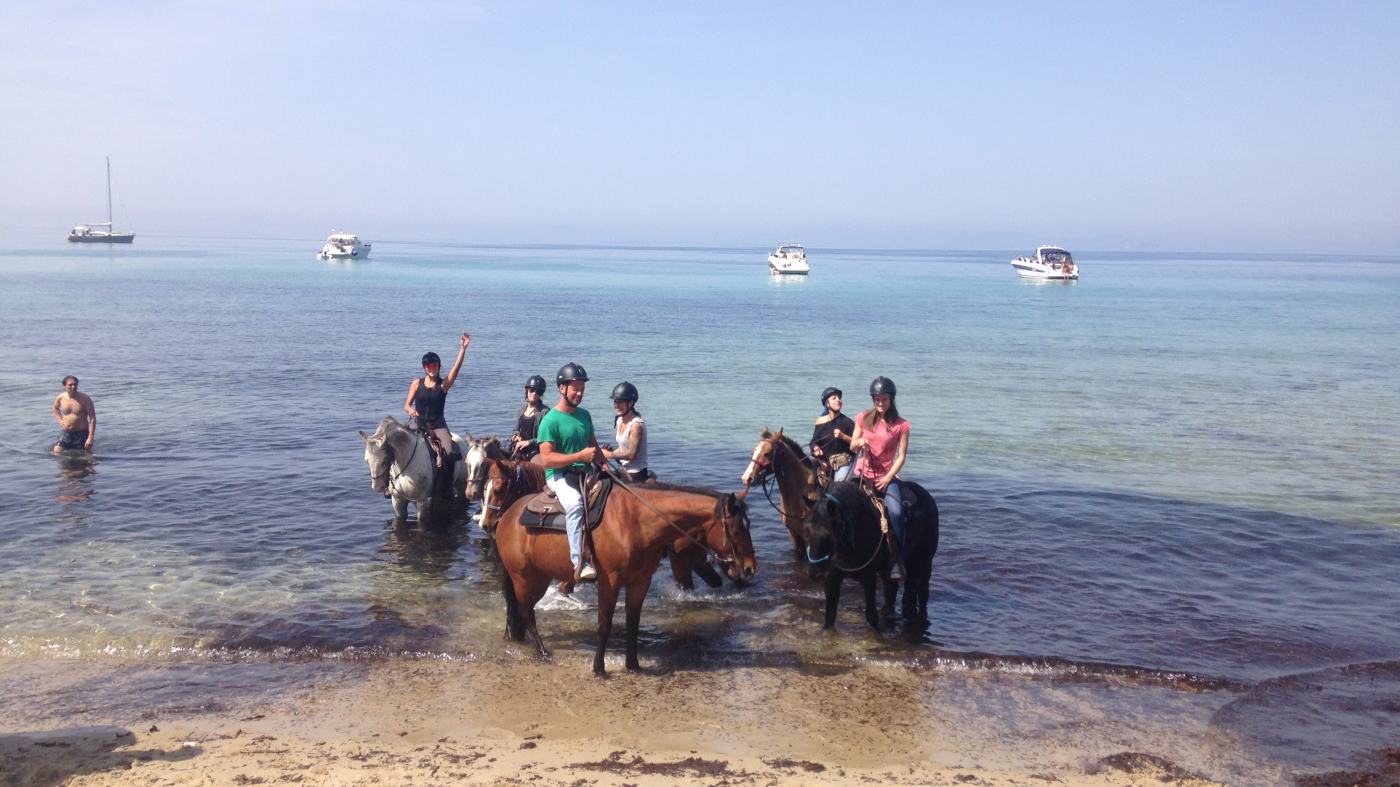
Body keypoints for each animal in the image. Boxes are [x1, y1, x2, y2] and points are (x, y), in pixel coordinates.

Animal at [492, 478, 756, 674]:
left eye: (748, 524)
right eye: (736, 529)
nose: (750, 568)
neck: (637, 522)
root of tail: (507, 516)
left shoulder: (640, 582)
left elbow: (632, 624)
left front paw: (633, 665)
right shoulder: (609, 582)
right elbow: (604, 624)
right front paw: (598, 668)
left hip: (538, 577)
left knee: (518, 610)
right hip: (525, 578)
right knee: (526, 612)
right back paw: (543, 651)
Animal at [806, 476, 935, 627]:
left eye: (829, 534)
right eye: (806, 530)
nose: (815, 574)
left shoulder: (869, 576)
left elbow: (871, 616)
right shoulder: (832, 576)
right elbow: (829, 617)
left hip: (925, 561)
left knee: (923, 592)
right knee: (896, 591)